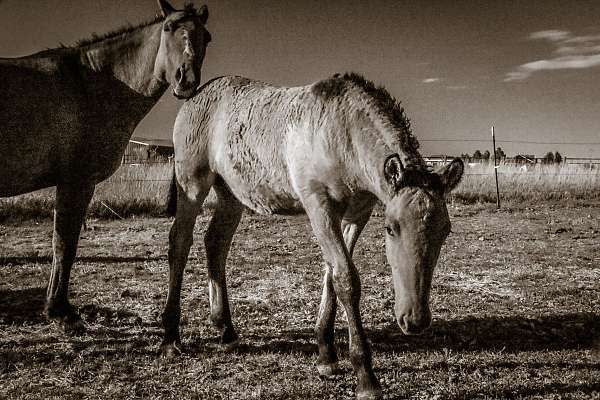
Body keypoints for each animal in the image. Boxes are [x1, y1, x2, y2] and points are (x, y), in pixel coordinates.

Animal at [0, 0, 211, 332]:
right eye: (168, 28)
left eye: (207, 37)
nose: (185, 79)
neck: (92, 85)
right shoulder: (76, 182)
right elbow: (65, 244)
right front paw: (61, 311)